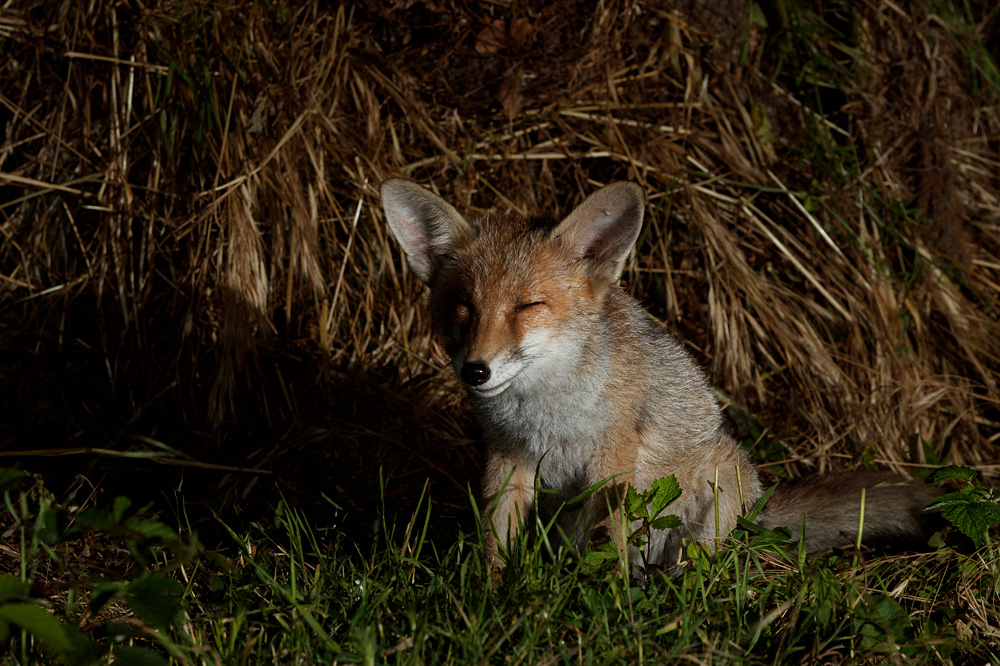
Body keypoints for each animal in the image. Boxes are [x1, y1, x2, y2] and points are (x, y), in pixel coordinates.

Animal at [379, 177, 933, 574]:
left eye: (527, 306)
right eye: (463, 307)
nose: (476, 369)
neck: (545, 414)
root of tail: (758, 503)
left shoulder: (611, 465)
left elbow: (603, 546)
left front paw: (592, 605)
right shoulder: (507, 460)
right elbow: (494, 548)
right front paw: (493, 600)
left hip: (716, 493)